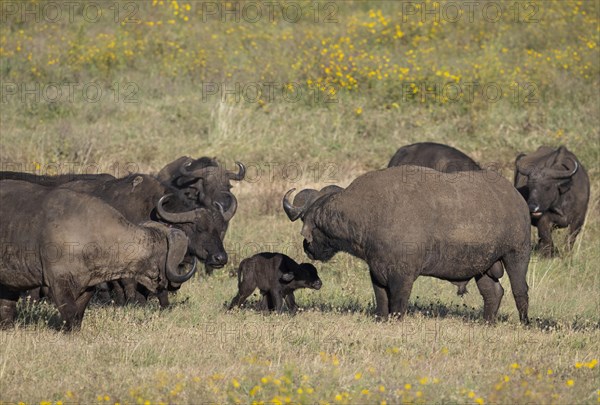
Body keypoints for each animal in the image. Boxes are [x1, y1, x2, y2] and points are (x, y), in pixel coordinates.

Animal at [284, 166, 532, 324]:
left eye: (312, 224)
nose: (307, 247)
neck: (370, 214)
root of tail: (517, 199)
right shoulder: (377, 272)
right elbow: (382, 300)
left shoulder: (402, 276)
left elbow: (398, 303)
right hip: (484, 267)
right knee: (494, 293)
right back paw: (487, 322)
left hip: (517, 255)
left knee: (520, 291)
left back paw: (524, 322)